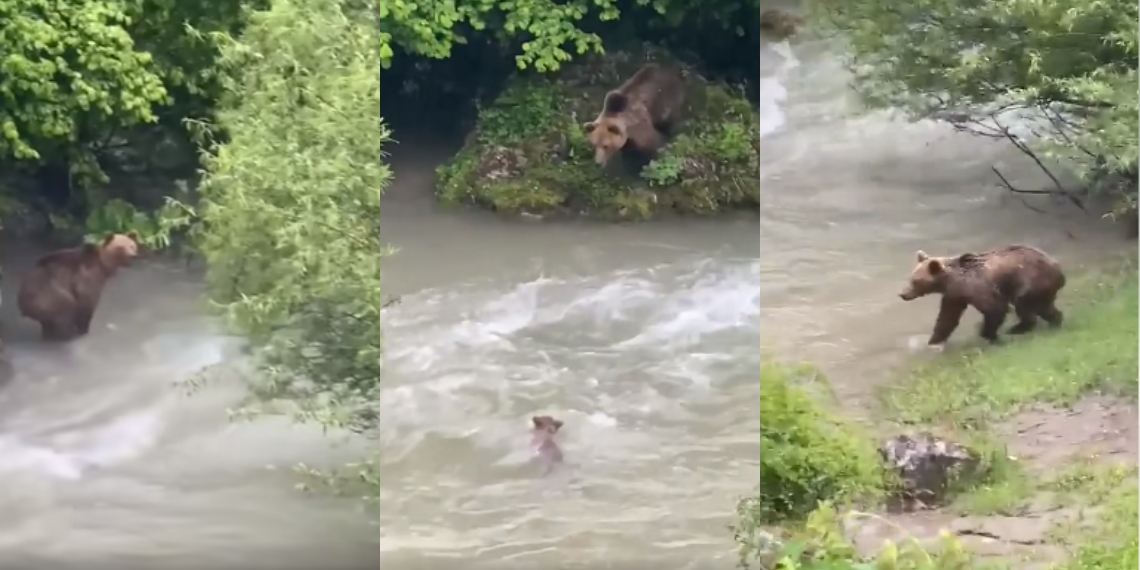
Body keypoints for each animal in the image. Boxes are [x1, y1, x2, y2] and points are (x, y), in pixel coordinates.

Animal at [898, 242, 1067, 344]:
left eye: (915, 281)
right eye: (911, 278)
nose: (902, 294)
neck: (953, 281)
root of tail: (1058, 268)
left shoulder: (980, 288)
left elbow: (994, 308)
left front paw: (989, 334)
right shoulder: (954, 295)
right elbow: (947, 317)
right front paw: (934, 341)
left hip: (1029, 282)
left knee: (1024, 305)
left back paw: (1016, 329)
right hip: (1040, 288)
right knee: (1044, 307)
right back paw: (1055, 323)